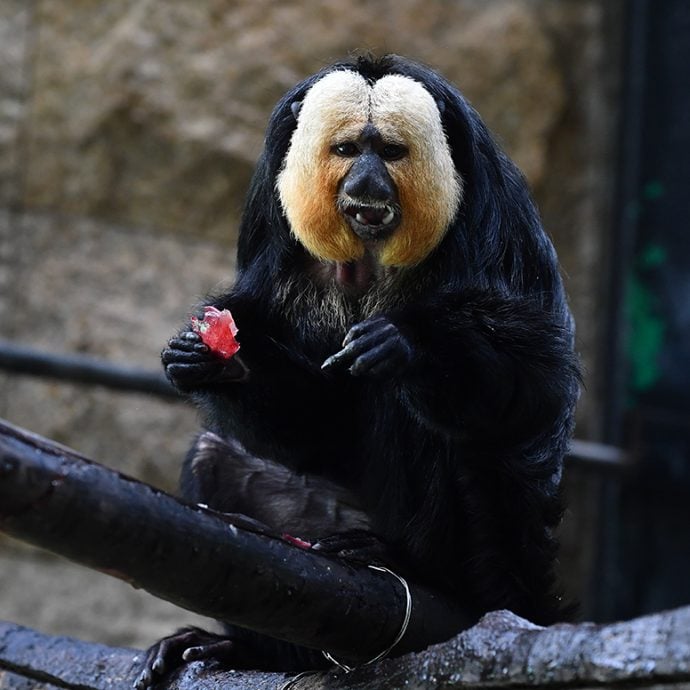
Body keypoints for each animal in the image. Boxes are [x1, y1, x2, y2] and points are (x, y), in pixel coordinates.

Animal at [134, 53, 576, 684]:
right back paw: (251, 650)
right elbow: (317, 427)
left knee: (421, 414)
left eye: (389, 151)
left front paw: (411, 345)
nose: (366, 183)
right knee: (214, 457)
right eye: (346, 150)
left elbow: (535, 389)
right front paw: (218, 361)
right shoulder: (271, 235)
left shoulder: (499, 222)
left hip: (493, 563)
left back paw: (408, 564)